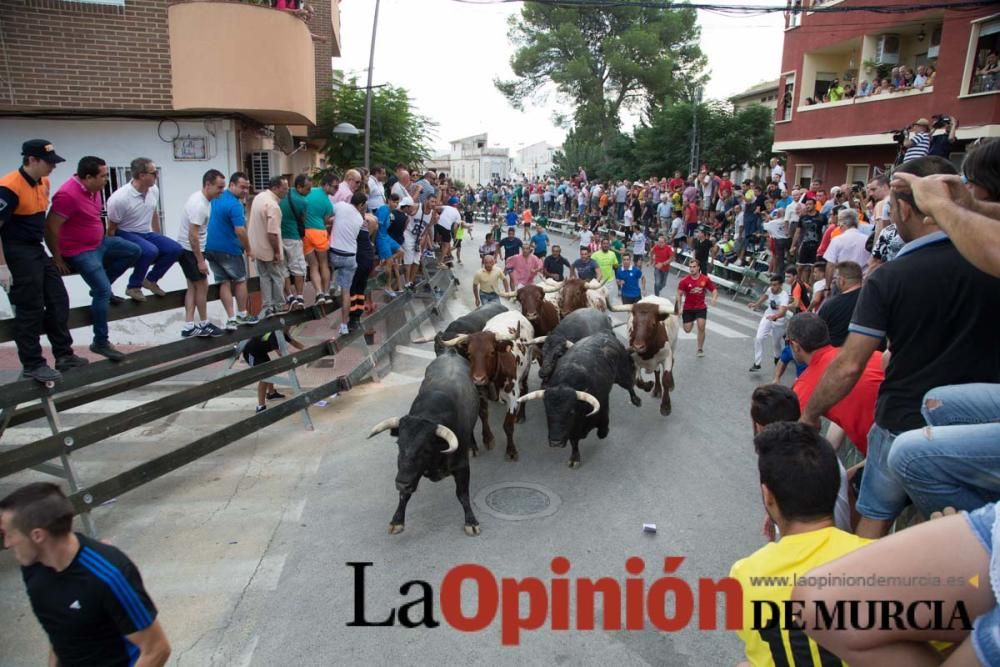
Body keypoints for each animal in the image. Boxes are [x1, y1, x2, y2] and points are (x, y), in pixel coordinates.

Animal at [370, 350, 482, 536]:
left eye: (425, 450)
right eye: (399, 445)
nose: (401, 483)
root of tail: (450, 353)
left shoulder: (462, 466)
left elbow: (462, 494)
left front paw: (471, 521)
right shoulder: (409, 474)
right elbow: (404, 495)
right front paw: (397, 520)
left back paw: (473, 447)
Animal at [516, 332, 640, 468]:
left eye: (571, 412)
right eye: (547, 411)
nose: (555, 442)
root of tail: (605, 334)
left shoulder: (603, 406)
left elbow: (602, 431)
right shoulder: (572, 429)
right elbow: (574, 442)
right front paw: (574, 458)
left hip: (622, 375)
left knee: (629, 385)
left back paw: (636, 400)